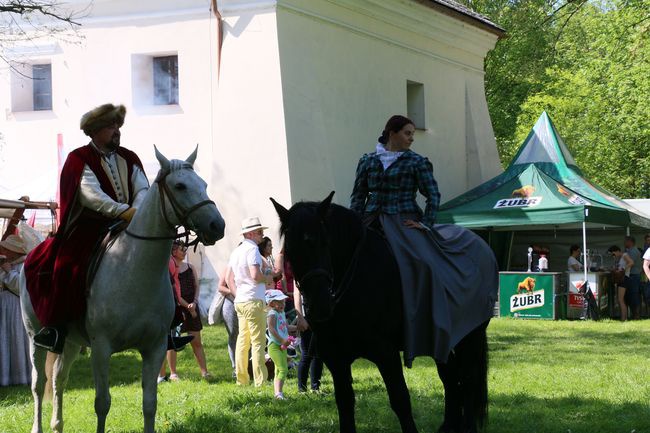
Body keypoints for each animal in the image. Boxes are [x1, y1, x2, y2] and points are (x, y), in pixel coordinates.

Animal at [18, 148, 225, 432]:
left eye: (203, 184)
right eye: (180, 186)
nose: (218, 226)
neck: (133, 268)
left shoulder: (155, 347)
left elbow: (150, 403)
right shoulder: (101, 348)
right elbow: (102, 403)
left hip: (70, 340)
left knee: (59, 378)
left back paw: (57, 425)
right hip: (34, 337)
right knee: (38, 385)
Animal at [270, 193, 488, 432]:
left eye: (324, 242)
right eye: (290, 250)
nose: (319, 306)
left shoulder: (386, 353)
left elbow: (400, 400)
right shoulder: (336, 358)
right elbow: (345, 403)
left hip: (471, 336)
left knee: (468, 378)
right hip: (443, 342)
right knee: (450, 378)